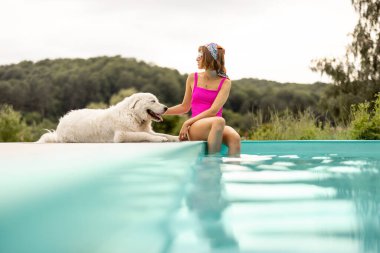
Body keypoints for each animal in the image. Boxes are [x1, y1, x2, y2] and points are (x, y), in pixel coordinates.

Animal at [38, 93, 180, 143]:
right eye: (153, 101)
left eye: (157, 100)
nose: (166, 108)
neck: (133, 115)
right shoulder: (122, 135)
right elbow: (144, 135)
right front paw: (159, 139)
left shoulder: (146, 129)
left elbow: (165, 134)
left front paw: (177, 137)